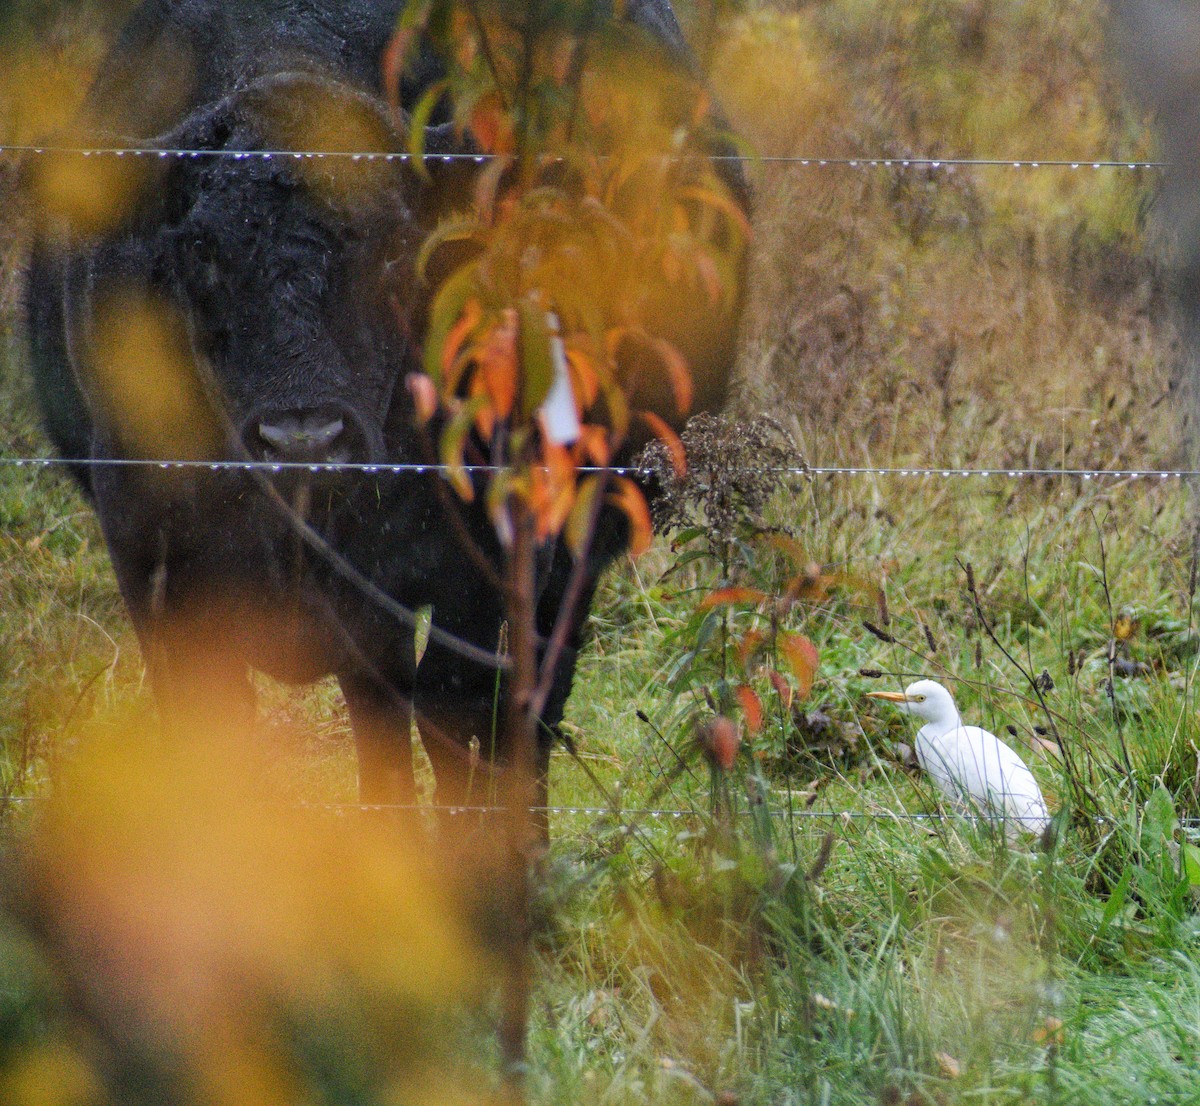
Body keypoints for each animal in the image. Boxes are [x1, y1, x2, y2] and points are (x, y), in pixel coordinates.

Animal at [22, 0, 748, 821]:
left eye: (395, 247)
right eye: (201, 246)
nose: (302, 438)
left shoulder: (460, 568)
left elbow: (444, 729)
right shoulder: (149, 551)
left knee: (521, 714)